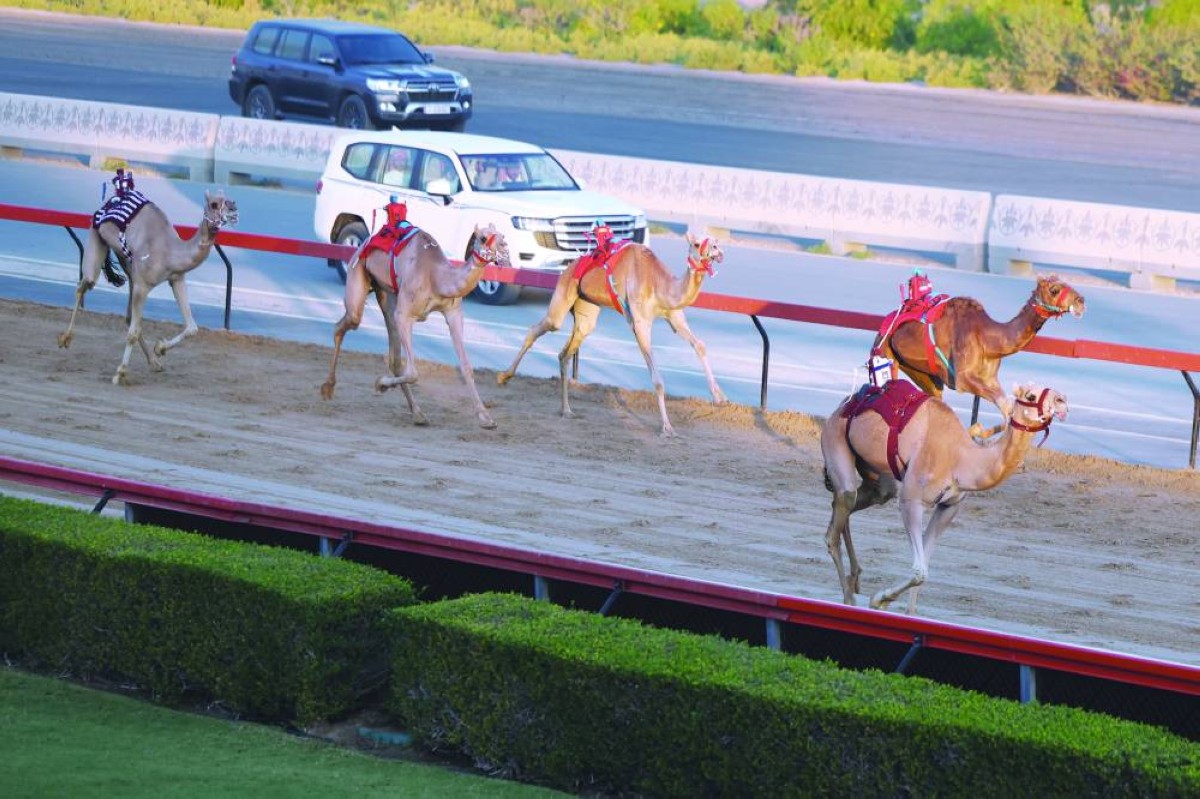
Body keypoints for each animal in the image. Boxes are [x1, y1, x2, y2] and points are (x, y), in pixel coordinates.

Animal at [57, 177, 240, 383]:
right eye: (214, 204)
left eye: (230, 198)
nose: (233, 208)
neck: (169, 251)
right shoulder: (143, 285)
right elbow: (133, 332)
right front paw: (120, 373)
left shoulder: (176, 278)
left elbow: (192, 327)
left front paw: (159, 348)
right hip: (97, 235)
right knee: (84, 284)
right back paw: (65, 338)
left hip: (128, 265)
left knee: (129, 315)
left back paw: (154, 363)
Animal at [316, 218, 508, 429]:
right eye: (482, 238)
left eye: (503, 235)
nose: (505, 249)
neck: (436, 276)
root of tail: (362, 245)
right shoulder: (405, 315)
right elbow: (414, 371)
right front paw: (380, 383)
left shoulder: (453, 312)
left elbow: (466, 367)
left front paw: (486, 418)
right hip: (357, 273)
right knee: (346, 323)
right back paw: (327, 388)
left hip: (387, 293)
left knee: (393, 356)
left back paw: (417, 413)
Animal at [494, 230, 724, 436]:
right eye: (696, 244)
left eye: (715, 240)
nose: (717, 251)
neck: (659, 284)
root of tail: (570, 266)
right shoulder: (640, 323)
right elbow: (658, 380)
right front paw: (667, 428)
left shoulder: (675, 316)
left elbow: (700, 345)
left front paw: (719, 396)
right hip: (563, 295)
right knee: (540, 328)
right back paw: (503, 377)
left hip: (587, 311)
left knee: (565, 353)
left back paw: (566, 409)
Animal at [816, 376, 1070, 611]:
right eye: (1030, 395)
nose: (1063, 401)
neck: (961, 460)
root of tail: (842, 405)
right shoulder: (911, 499)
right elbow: (919, 571)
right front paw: (879, 599)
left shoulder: (949, 507)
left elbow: (925, 568)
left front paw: (908, 613)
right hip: (835, 437)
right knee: (841, 511)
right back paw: (848, 596)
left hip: (874, 471)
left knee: (853, 501)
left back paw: (854, 579)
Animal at [873, 272, 1089, 429]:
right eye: (1054, 290)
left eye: (1067, 283)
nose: (1081, 301)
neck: (987, 338)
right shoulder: (961, 378)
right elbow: (1005, 405)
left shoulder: (990, 378)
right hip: (884, 353)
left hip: (922, 373)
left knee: (933, 398)